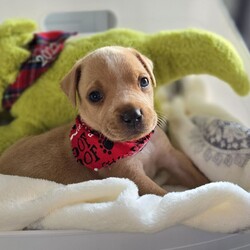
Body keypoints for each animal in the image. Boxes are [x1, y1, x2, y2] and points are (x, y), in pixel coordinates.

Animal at [0, 46, 208, 195]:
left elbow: (196, 176)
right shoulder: (131, 176)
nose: (132, 115)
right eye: (94, 96)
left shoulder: (172, 157)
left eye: (144, 81)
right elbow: (160, 194)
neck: (137, 145)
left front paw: (212, 186)